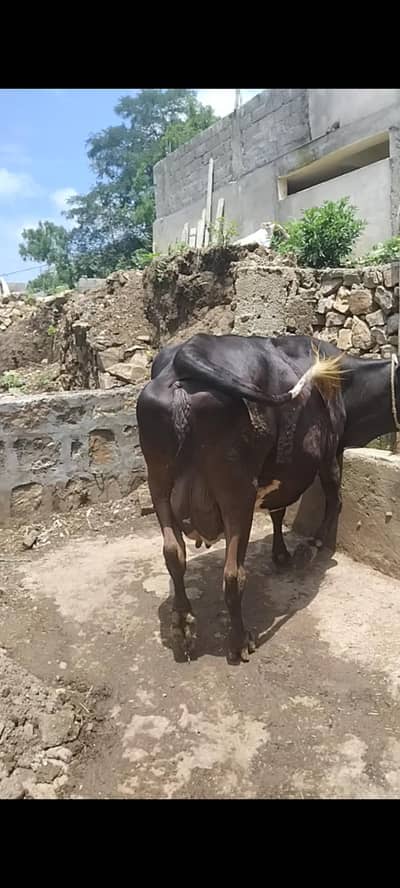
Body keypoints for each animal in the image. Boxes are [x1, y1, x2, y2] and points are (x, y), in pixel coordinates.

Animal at [137, 333, 400, 663]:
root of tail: (190, 350)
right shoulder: (330, 450)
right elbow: (333, 500)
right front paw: (308, 549)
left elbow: (278, 510)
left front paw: (281, 553)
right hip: (236, 492)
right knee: (233, 573)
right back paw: (240, 640)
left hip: (158, 483)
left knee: (174, 554)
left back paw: (183, 629)